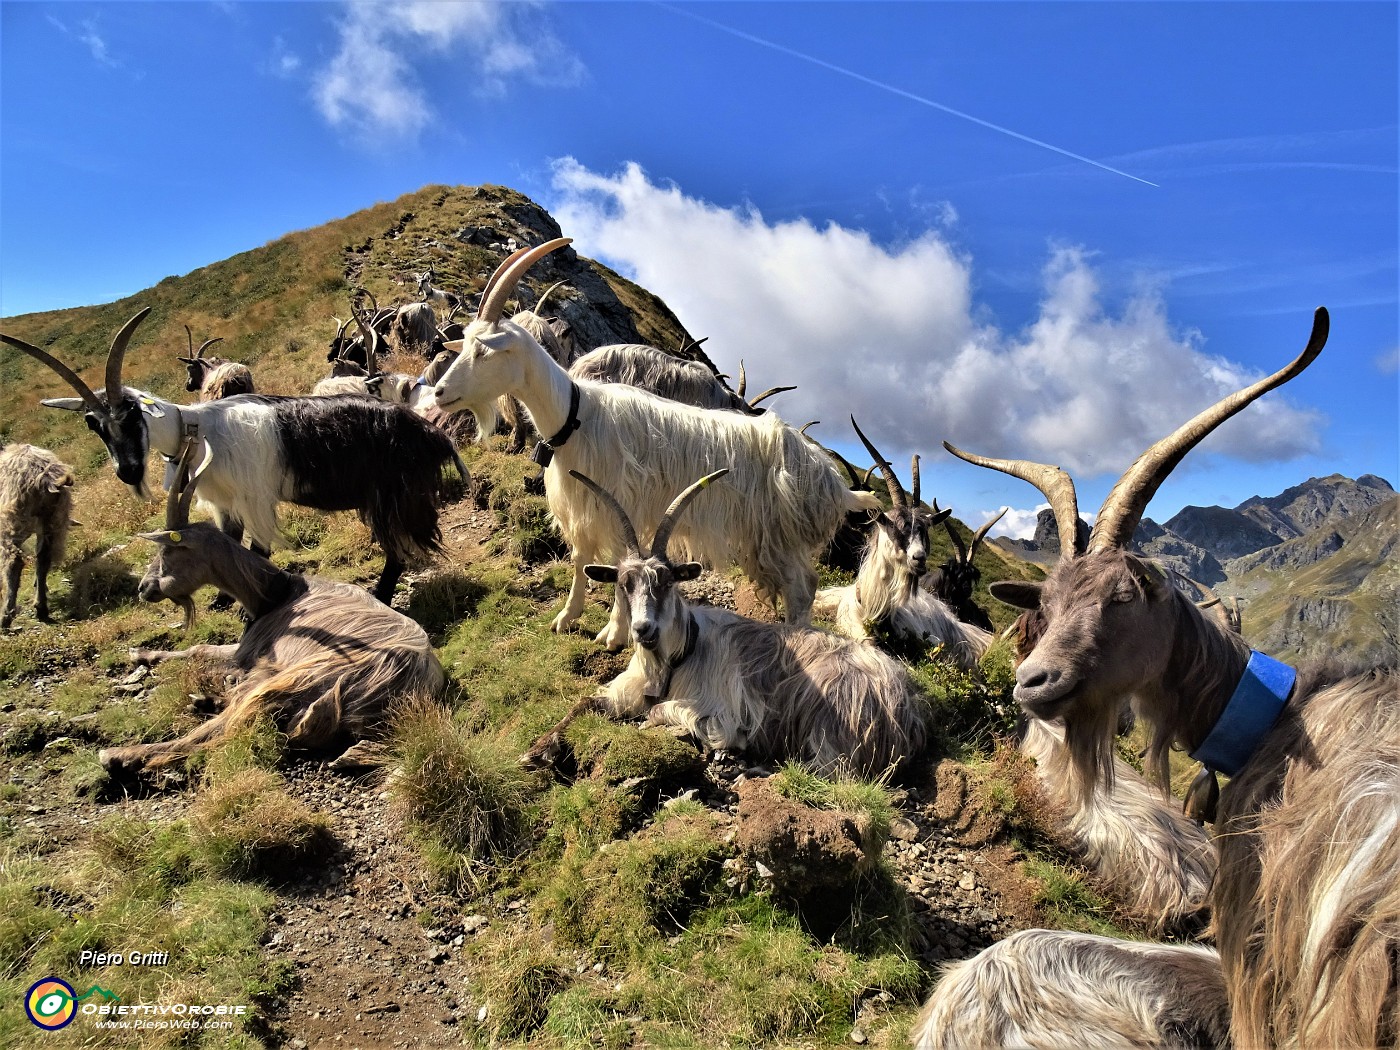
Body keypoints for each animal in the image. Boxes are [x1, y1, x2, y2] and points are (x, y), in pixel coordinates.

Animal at [0, 439, 74, 630]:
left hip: (13, 522)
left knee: (14, 562)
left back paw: (6, 616)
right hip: (51, 519)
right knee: (43, 558)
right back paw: (41, 607)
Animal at [100, 439, 442, 778]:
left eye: (167, 550)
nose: (144, 588)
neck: (276, 593)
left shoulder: (252, 653)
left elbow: (203, 655)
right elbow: (199, 648)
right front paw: (140, 652)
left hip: (289, 681)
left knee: (218, 730)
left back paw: (120, 754)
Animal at [431, 240, 879, 649]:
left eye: (485, 351)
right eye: (465, 344)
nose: (438, 393)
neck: (576, 414)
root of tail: (831, 480)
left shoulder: (619, 502)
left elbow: (617, 561)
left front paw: (613, 633)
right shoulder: (583, 503)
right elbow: (581, 559)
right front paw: (567, 617)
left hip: (780, 537)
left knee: (803, 590)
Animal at [518, 467, 929, 784]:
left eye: (668, 581)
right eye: (623, 584)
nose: (643, 630)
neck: (677, 658)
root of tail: (907, 706)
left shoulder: (720, 712)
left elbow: (659, 713)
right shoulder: (624, 689)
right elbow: (584, 702)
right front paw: (535, 752)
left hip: (831, 714)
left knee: (830, 771)